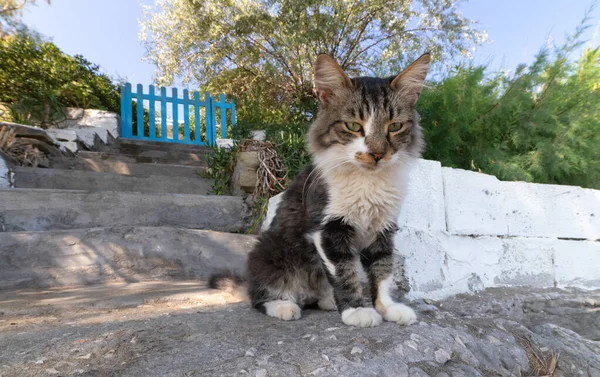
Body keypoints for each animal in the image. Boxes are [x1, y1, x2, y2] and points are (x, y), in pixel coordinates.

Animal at [209, 53, 428, 326]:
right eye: (354, 126)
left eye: (395, 126)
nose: (377, 154)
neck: (368, 181)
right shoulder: (327, 228)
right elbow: (345, 273)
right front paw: (357, 310)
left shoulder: (383, 228)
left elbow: (382, 272)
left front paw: (387, 308)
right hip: (268, 253)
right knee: (260, 297)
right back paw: (283, 305)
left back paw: (327, 301)